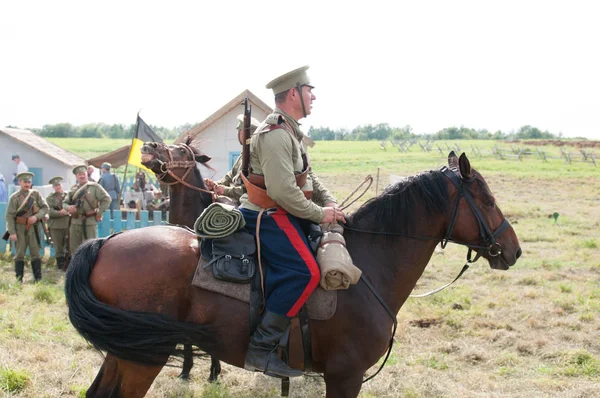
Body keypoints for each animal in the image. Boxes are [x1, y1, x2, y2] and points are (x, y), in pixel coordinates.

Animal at [64, 151, 520, 396]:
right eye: (487, 198)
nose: (513, 250)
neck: (369, 266)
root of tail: (106, 242)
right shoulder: (345, 377)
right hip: (143, 358)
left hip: (125, 354)